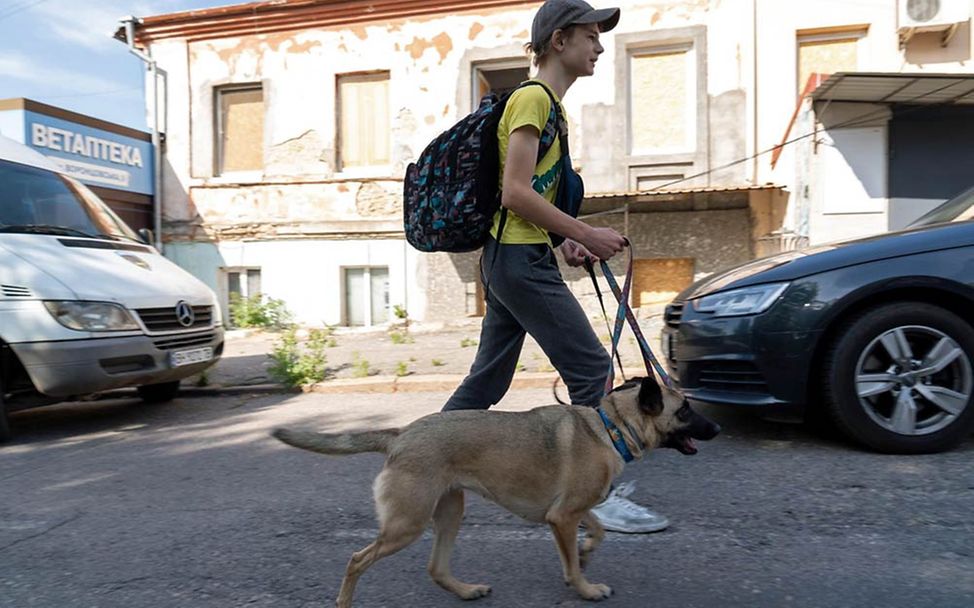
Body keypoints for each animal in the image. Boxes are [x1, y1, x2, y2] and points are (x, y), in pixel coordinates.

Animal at [270, 378, 720, 604]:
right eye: (684, 410)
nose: (717, 427)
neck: (610, 429)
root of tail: (401, 434)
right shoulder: (562, 517)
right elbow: (574, 563)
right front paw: (585, 588)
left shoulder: (568, 513)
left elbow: (595, 531)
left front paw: (586, 555)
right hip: (407, 524)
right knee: (356, 559)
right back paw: (345, 601)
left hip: (450, 511)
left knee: (436, 568)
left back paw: (466, 590)